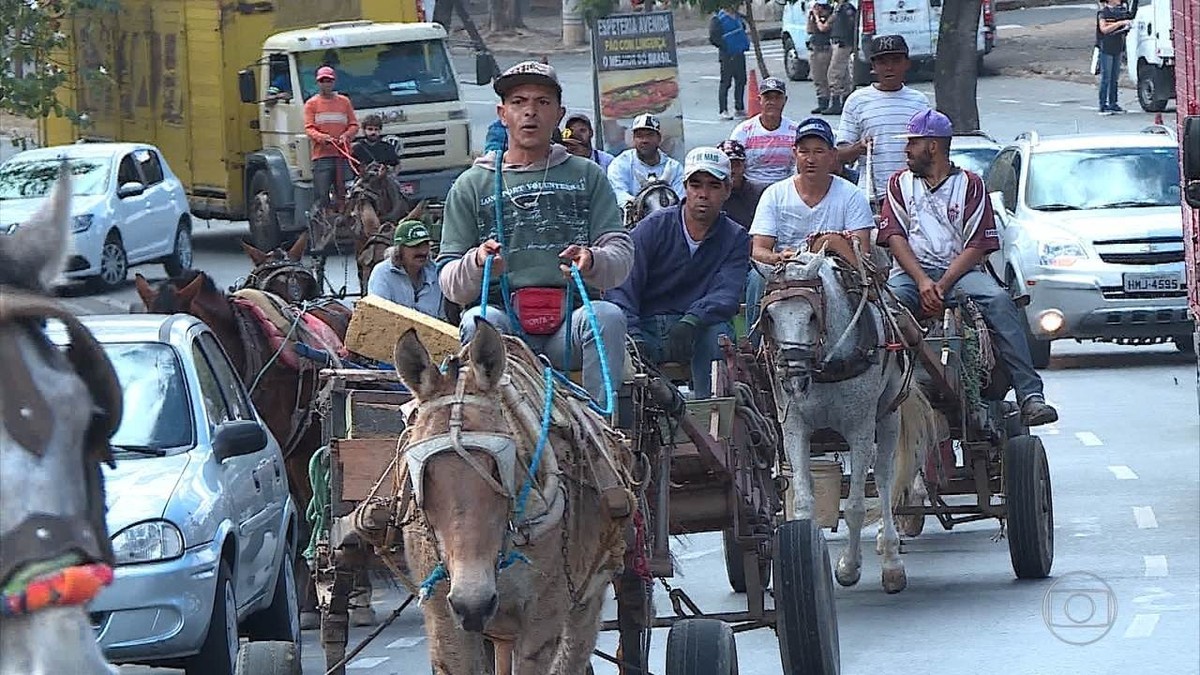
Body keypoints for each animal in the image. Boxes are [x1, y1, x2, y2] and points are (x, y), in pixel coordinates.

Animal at [753, 240, 931, 588]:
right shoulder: (794, 427)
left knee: (885, 479)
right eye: (770, 316)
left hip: (887, 416)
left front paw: (849, 568)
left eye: (811, 315)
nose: (793, 378)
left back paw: (890, 554)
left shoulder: (860, 429)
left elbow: (856, 507)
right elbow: (803, 501)